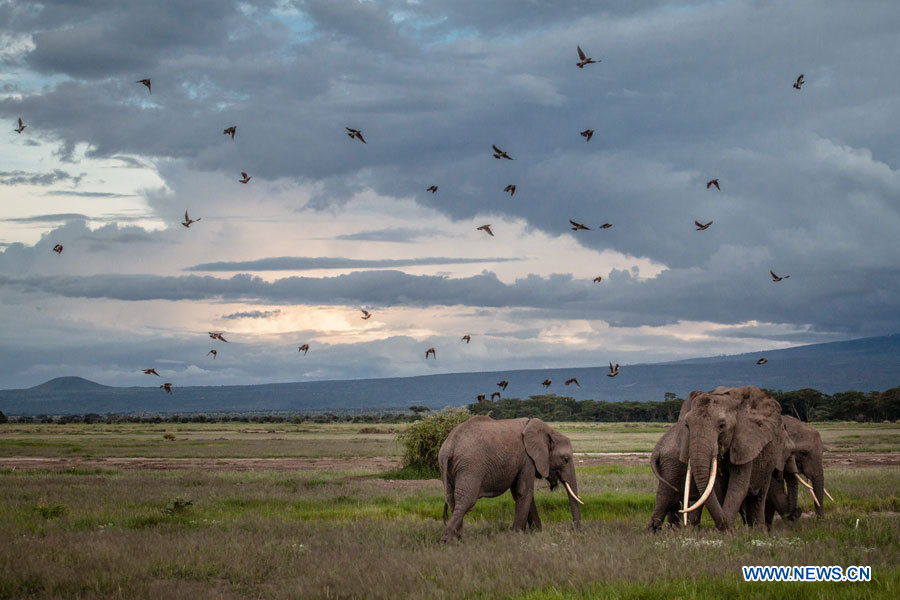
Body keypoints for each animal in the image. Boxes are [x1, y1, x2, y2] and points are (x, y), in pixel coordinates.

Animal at [438, 414, 584, 540]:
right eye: (565, 459)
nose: (573, 530)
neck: (547, 430)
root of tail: (449, 446)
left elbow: (523, 494)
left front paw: (537, 532)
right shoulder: (527, 459)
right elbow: (524, 492)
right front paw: (518, 534)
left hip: (451, 467)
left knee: (452, 500)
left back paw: (458, 539)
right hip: (470, 467)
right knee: (466, 501)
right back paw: (447, 540)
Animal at [680, 384, 792, 528]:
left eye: (722, 426)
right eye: (687, 425)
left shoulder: (745, 444)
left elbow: (737, 487)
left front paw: (728, 530)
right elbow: (718, 487)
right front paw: (727, 528)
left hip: (771, 458)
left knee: (759, 496)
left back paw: (759, 530)